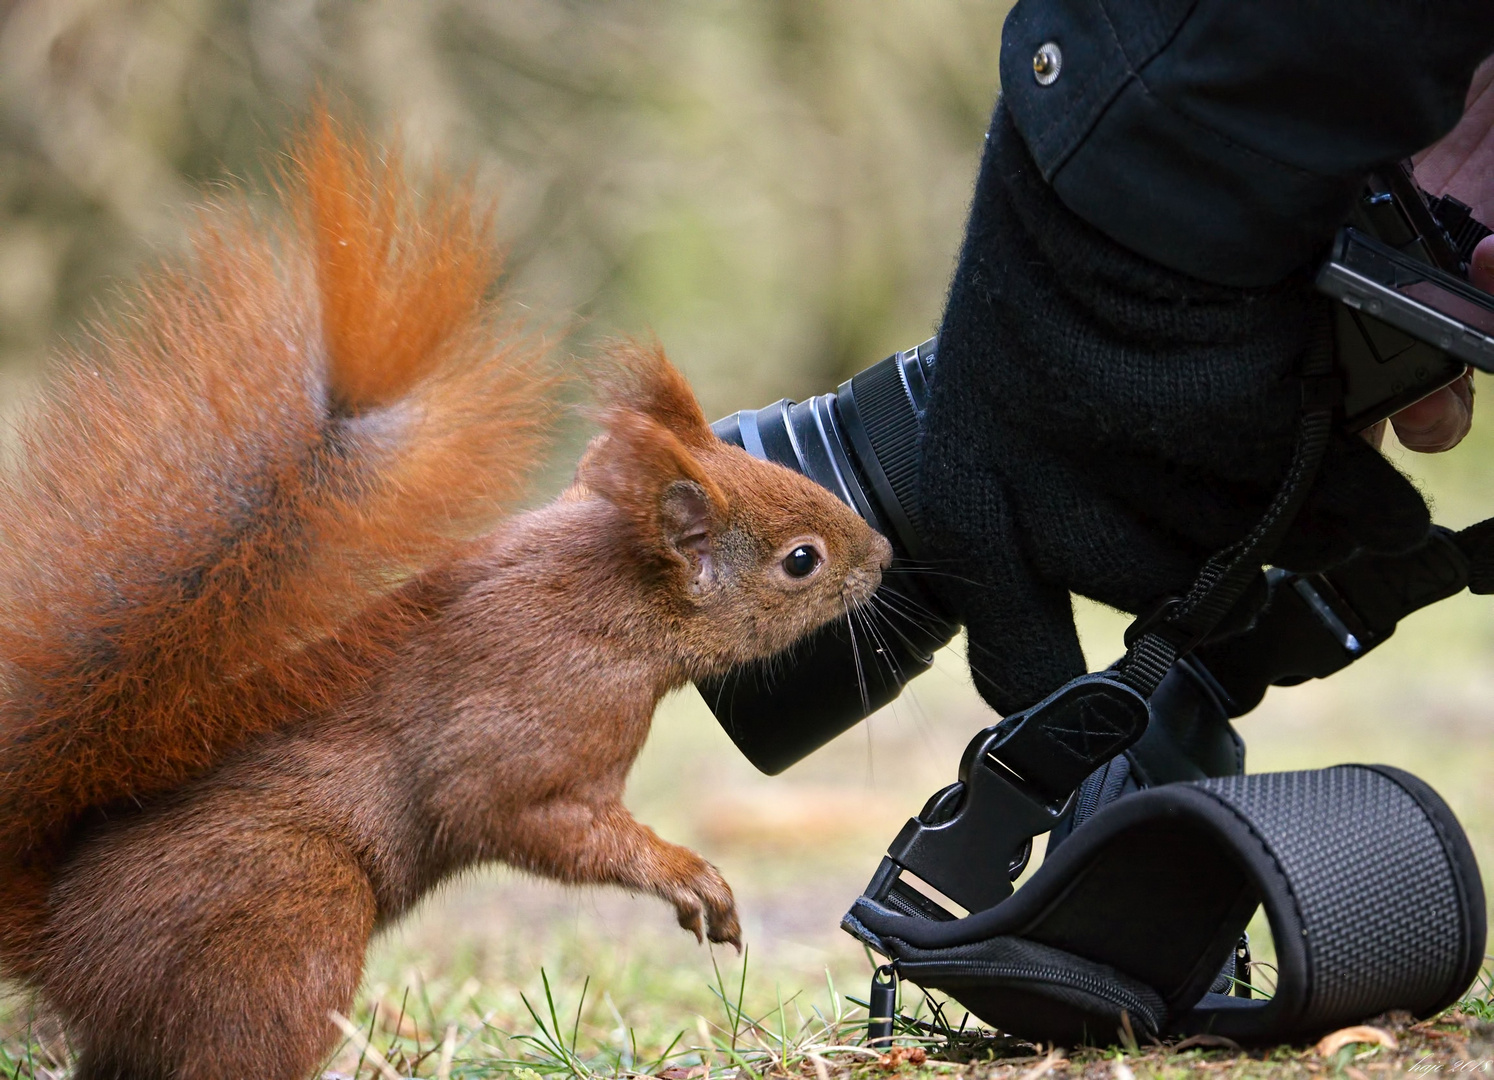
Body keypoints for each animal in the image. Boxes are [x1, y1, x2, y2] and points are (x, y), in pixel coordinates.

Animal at [0, 114, 884, 1080]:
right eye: (800, 561)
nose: (883, 556)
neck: (613, 603)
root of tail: (60, 941)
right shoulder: (539, 722)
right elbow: (513, 811)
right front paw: (691, 878)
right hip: (288, 918)